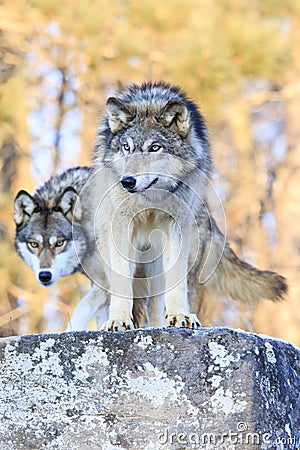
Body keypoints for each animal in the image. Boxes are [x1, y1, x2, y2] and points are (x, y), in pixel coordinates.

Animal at [78, 81, 288, 330]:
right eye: (126, 148)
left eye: (155, 148)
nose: (127, 181)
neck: (150, 201)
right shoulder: (120, 226)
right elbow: (121, 281)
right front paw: (118, 320)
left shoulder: (176, 225)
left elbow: (176, 284)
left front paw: (180, 316)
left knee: (157, 302)